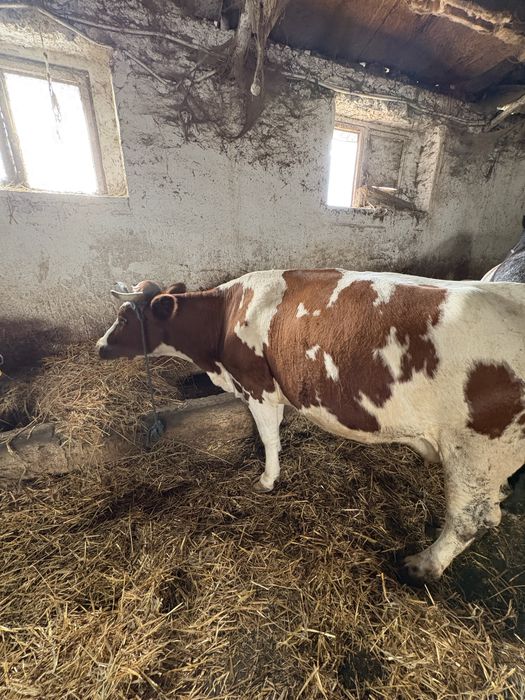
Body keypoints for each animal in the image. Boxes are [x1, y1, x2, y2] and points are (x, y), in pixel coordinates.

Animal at [96, 270, 525, 584]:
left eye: (123, 318)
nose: (99, 347)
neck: (224, 320)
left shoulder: (257, 386)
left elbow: (269, 437)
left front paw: (267, 480)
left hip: (474, 450)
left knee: (471, 519)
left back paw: (423, 564)